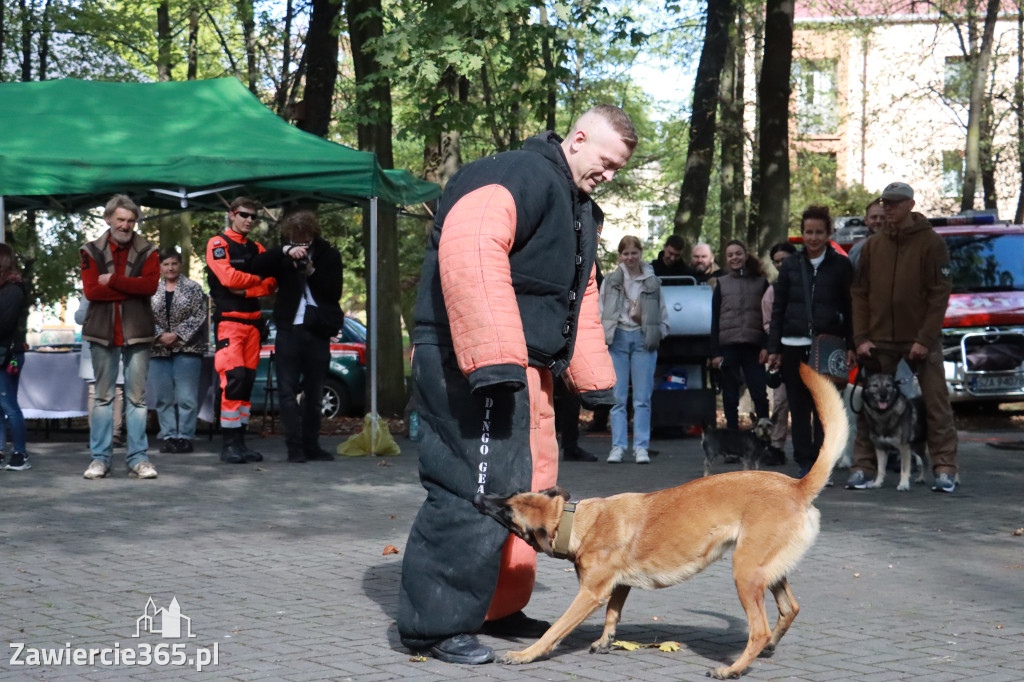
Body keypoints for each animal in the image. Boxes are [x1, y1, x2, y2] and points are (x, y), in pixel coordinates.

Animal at [471, 366, 847, 679]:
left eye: (508, 514)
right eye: (510, 496)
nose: (478, 498)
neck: (579, 523)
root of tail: (796, 486)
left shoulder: (590, 594)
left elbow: (556, 630)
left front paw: (526, 654)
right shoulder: (618, 586)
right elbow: (613, 613)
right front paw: (605, 641)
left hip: (745, 572)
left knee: (760, 629)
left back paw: (732, 669)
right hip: (767, 571)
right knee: (790, 609)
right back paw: (766, 650)